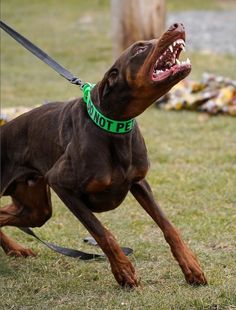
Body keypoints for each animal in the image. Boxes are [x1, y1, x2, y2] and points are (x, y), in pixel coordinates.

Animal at [0, 24, 206, 288]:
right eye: (139, 48)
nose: (177, 25)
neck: (113, 127)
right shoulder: (61, 184)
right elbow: (102, 233)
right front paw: (123, 271)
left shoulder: (139, 181)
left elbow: (168, 226)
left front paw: (191, 266)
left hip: (36, 208)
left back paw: (16, 249)